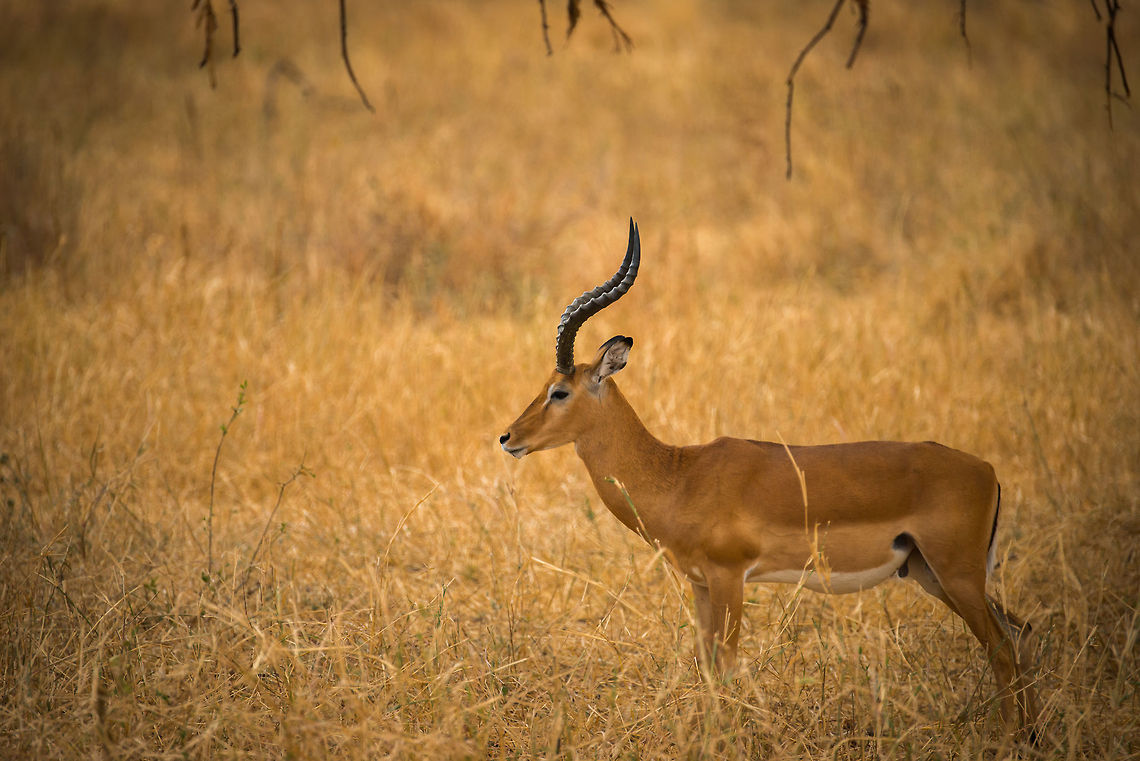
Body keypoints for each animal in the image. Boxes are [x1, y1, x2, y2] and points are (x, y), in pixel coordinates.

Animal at [499, 219, 1040, 739]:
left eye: (560, 391)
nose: (507, 437)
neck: (679, 474)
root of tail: (988, 472)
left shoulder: (729, 577)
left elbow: (725, 668)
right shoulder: (700, 584)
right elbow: (705, 667)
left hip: (956, 574)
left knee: (1002, 647)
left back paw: (1007, 739)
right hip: (932, 574)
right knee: (1022, 632)